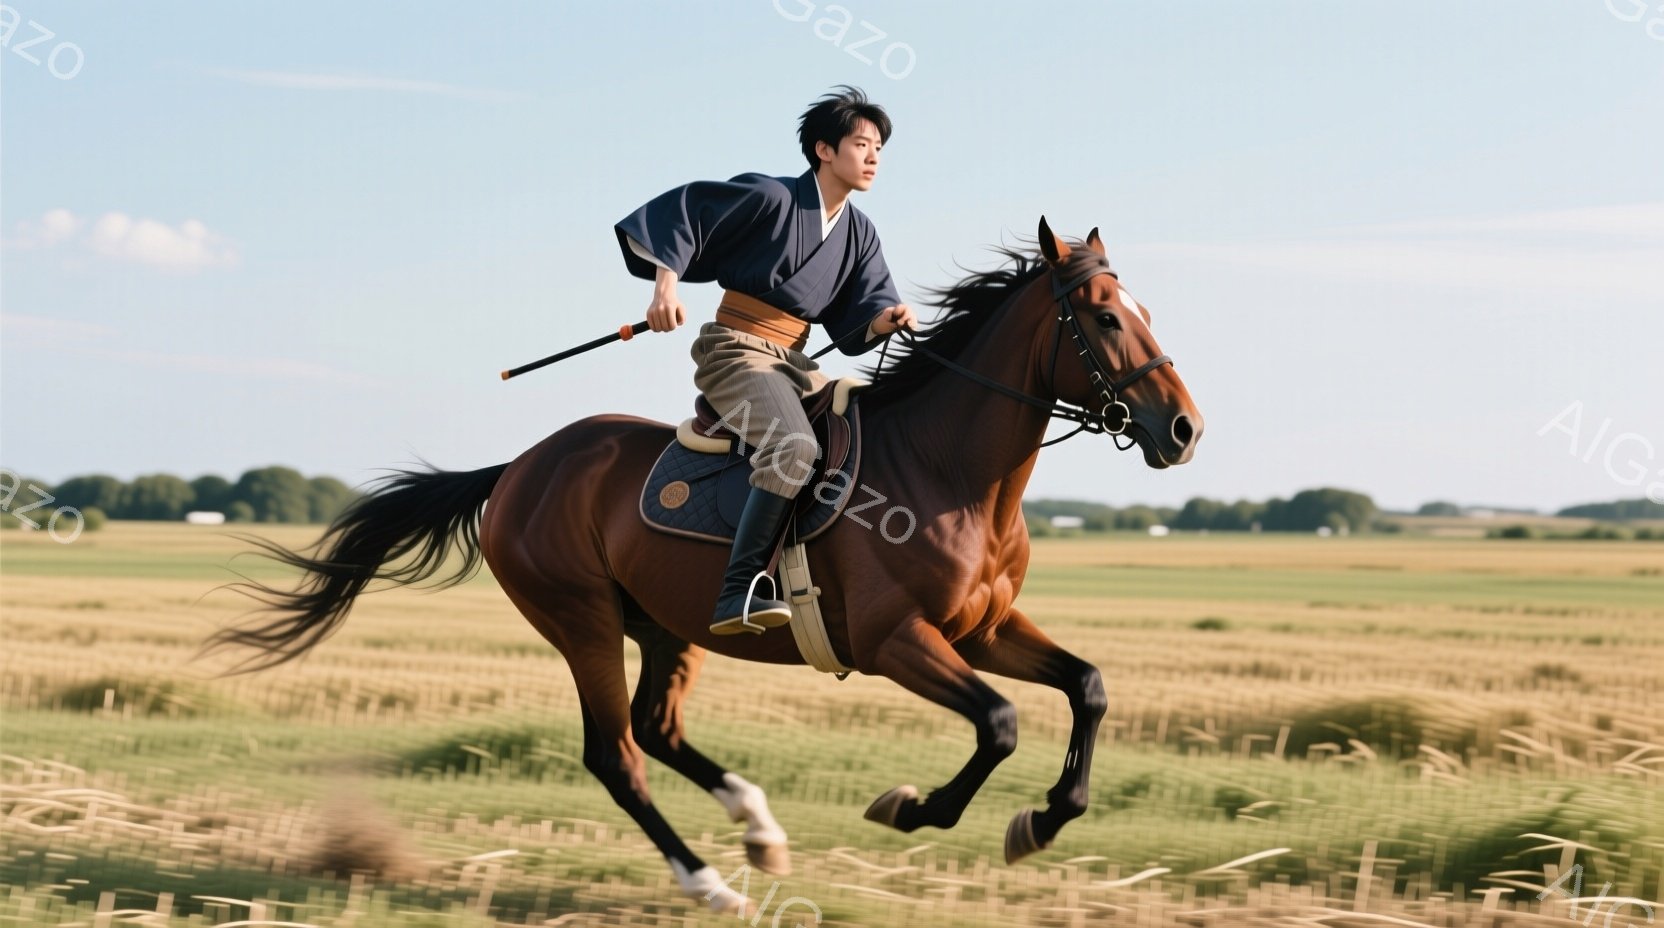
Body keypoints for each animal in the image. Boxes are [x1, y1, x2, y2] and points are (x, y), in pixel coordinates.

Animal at [200, 218, 1203, 914]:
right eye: (1105, 318)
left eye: (1148, 312)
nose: (1185, 430)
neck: (948, 469)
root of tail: (520, 466)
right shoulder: (896, 642)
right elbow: (997, 724)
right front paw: (914, 808)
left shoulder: (984, 629)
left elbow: (1089, 687)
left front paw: (1045, 816)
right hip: (582, 622)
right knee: (616, 753)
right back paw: (707, 880)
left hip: (665, 626)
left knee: (657, 729)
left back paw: (758, 828)